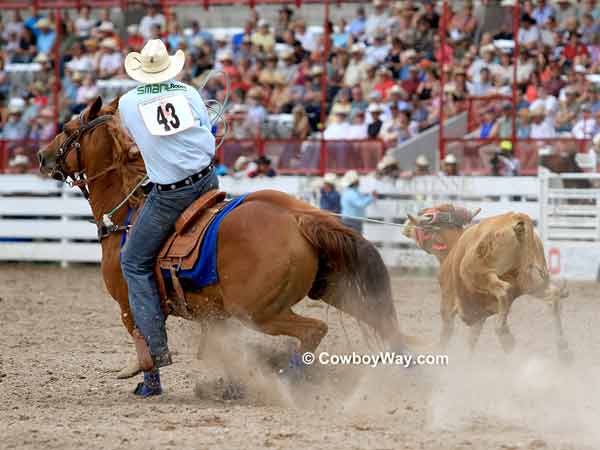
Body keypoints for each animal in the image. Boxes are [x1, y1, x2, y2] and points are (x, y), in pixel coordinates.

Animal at [36, 97, 412, 394]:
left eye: (67, 127)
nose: (41, 155)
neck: (128, 213)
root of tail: (298, 216)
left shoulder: (128, 302)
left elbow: (145, 339)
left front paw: (147, 383)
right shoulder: (212, 315)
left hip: (260, 311)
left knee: (315, 330)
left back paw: (288, 377)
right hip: (335, 287)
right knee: (384, 324)